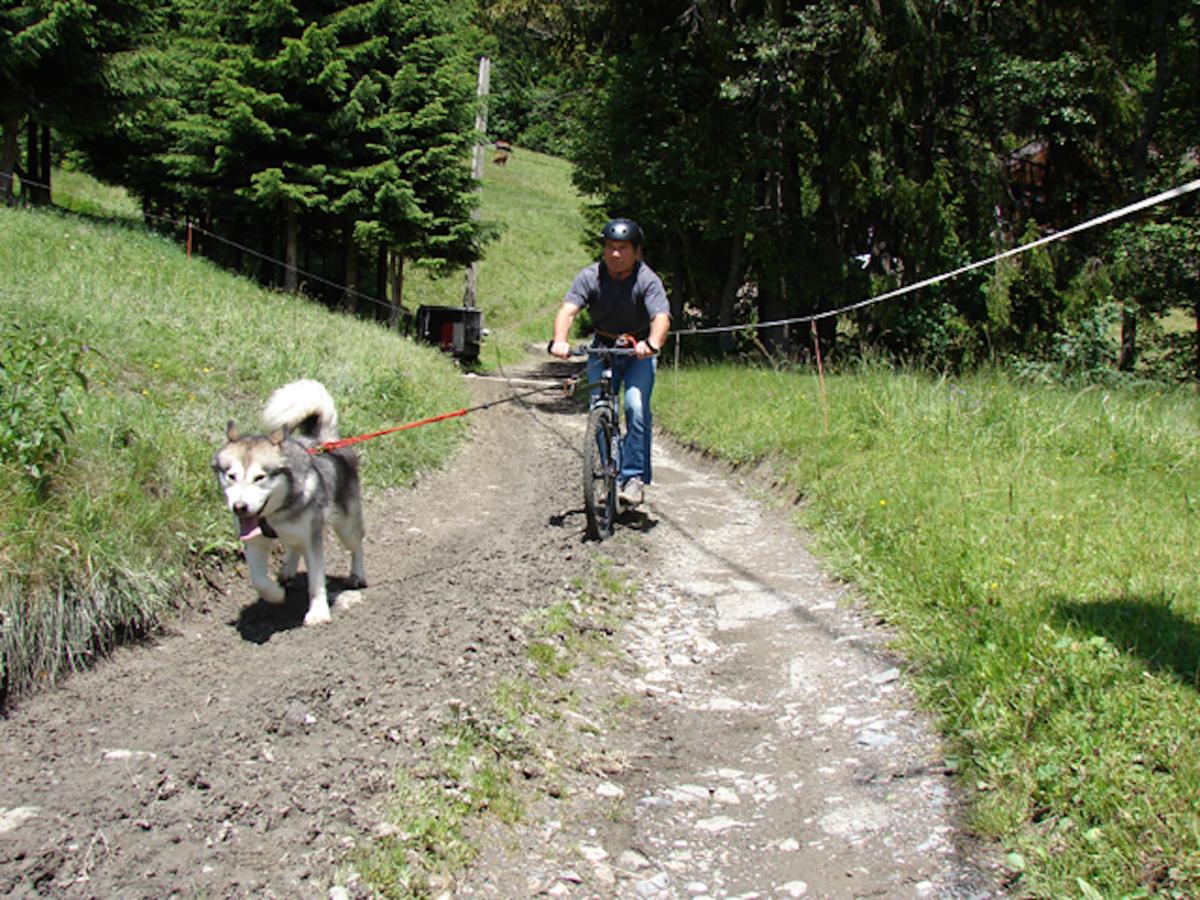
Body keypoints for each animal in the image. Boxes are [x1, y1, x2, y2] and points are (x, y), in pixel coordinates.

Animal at [213, 381, 364, 628]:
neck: (274, 514)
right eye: (231, 476)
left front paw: (318, 611)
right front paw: (275, 595)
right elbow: (258, 579)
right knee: (294, 547)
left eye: (260, 477)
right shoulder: (254, 541)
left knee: (356, 545)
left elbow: (316, 581)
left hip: (346, 523)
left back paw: (358, 575)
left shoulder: (312, 537)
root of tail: (324, 440)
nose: (240, 507)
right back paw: (287, 569)